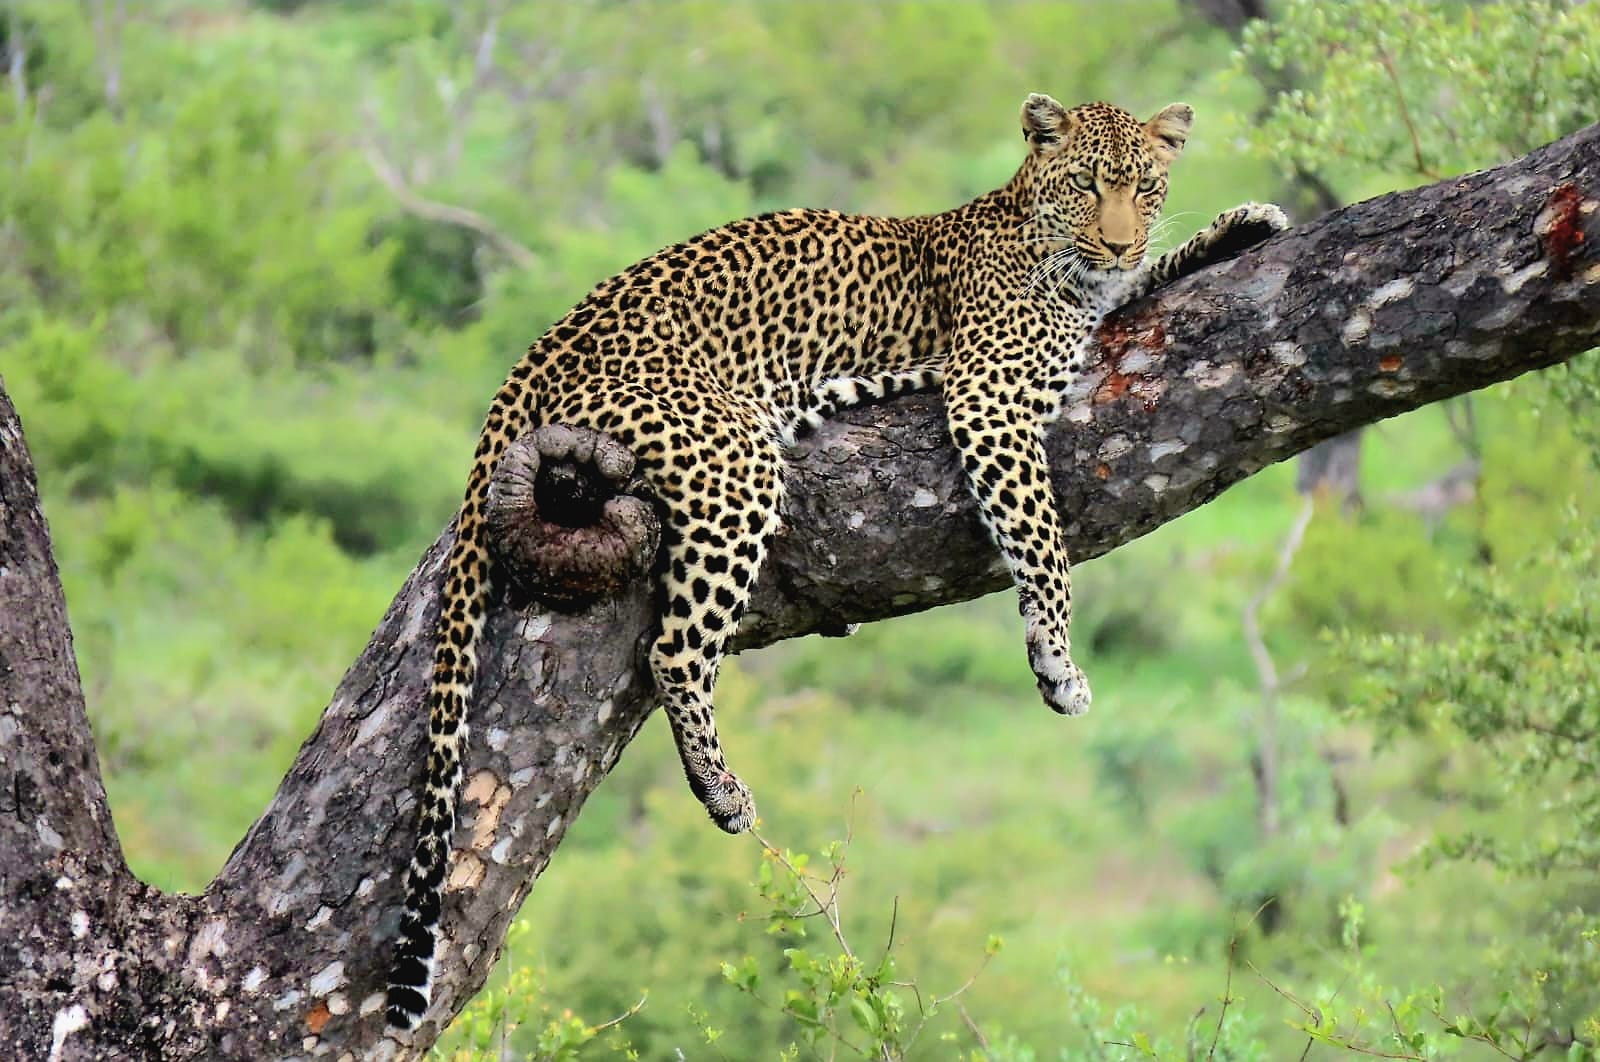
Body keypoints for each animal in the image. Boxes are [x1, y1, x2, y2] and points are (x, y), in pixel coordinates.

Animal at [385, 92, 1289, 1030]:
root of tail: (541, 344)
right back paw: (723, 791)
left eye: (1144, 188)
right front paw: (1057, 662)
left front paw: (1240, 225)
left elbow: (1146, 280)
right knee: (674, 650)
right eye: (1085, 185)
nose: (1116, 240)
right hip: (735, 463)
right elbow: (1043, 542)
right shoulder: (991, 400)